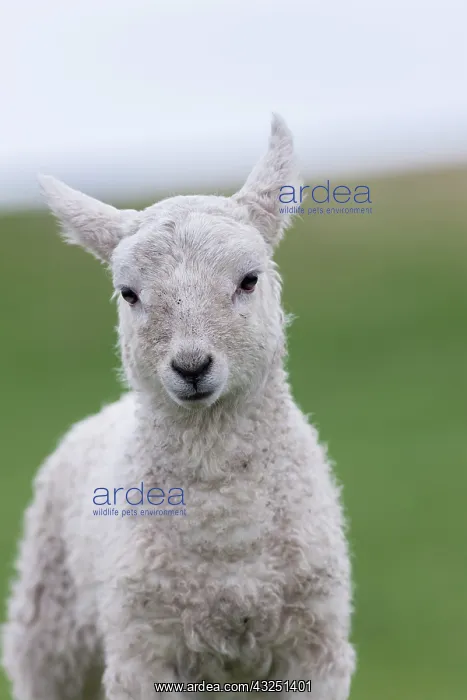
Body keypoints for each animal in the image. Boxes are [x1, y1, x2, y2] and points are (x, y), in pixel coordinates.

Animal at [1, 114, 355, 700]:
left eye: (249, 280)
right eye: (128, 293)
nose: (191, 366)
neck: (226, 533)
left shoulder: (314, 647)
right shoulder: (144, 649)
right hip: (49, 632)